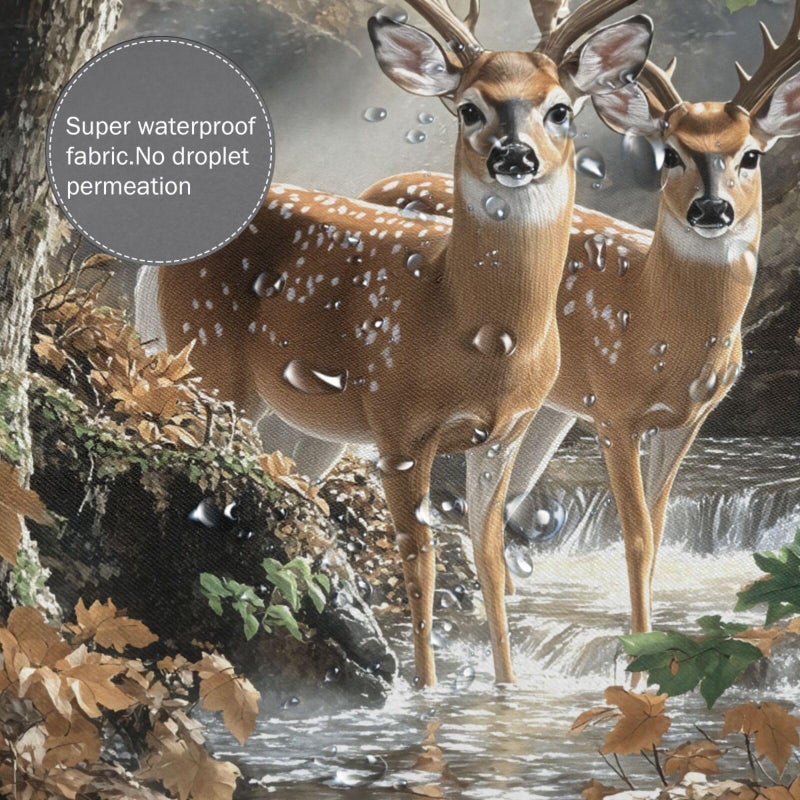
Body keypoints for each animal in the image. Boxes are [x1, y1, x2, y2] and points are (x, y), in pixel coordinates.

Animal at [135, 0, 655, 686]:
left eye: (561, 108)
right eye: (469, 107)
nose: (514, 156)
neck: (479, 334)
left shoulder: (504, 433)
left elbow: (488, 556)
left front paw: (506, 686)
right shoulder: (399, 423)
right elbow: (420, 559)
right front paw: (428, 691)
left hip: (293, 415)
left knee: (287, 486)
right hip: (211, 358)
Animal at [355, 0, 800, 644]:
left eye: (751, 154)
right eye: (671, 153)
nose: (711, 209)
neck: (660, 324)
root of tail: (374, 183)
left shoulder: (688, 421)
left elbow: (658, 531)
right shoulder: (614, 413)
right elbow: (637, 537)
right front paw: (639, 642)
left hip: (547, 410)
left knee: (504, 500)